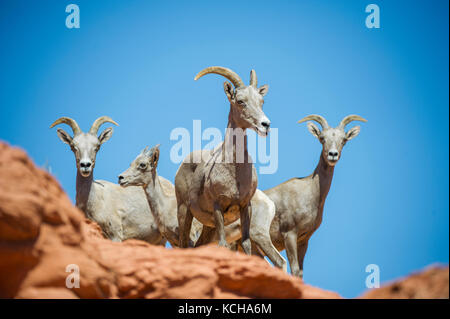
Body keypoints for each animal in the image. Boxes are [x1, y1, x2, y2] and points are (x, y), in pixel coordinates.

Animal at [174, 65, 268, 255]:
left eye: (261, 101)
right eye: (240, 101)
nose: (265, 125)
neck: (235, 172)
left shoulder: (245, 206)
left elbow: (246, 244)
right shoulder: (218, 207)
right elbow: (223, 244)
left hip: (208, 226)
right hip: (184, 211)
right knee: (183, 244)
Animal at [264, 114, 366, 278]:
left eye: (344, 140)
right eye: (322, 138)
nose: (332, 155)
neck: (310, 193)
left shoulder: (303, 241)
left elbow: (299, 273)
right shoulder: (289, 235)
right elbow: (294, 269)